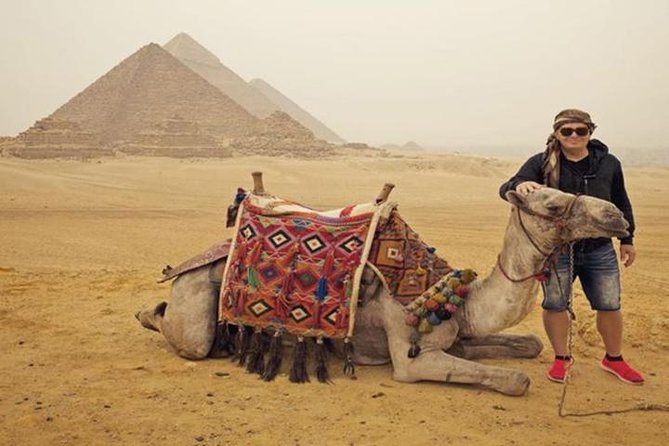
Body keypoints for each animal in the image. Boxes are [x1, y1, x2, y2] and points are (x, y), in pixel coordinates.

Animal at [136, 182, 629, 396]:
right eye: (554, 204)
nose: (618, 216)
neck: (448, 295)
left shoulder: (453, 337)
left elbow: (527, 345)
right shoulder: (410, 357)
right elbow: (515, 379)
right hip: (195, 307)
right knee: (188, 337)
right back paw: (148, 313)